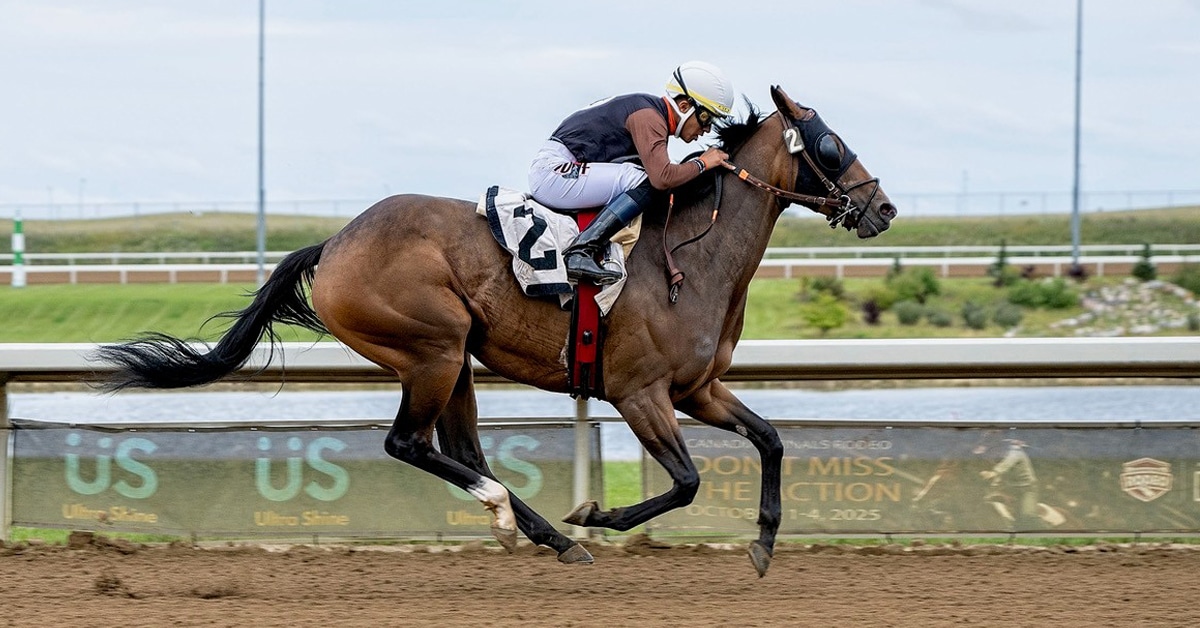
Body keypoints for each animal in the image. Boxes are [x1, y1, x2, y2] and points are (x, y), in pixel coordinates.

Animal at [96, 86, 896, 577]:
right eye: (831, 144)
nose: (883, 209)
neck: (693, 256)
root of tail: (336, 243)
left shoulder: (697, 388)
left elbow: (771, 440)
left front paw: (763, 544)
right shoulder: (638, 393)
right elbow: (688, 481)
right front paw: (597, 512)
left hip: (456, 360)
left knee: (458, 446)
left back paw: (538, 530)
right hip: (434, 346)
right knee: (409, 444)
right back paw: (523, 518)